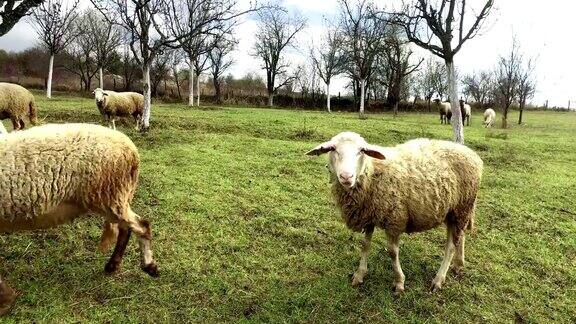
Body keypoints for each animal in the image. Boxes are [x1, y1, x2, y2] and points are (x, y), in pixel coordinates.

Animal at [0, 123, 158, 316]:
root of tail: (130, 148)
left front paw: (5, 300)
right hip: (114, 196)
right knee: (126, 228)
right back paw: (112, 266)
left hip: (109, 194)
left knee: (142, 225)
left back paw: (148, 265)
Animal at [308, 132, 484, 294]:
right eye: (333, 149)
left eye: (362, 151)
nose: (346, 176)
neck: (372, 173)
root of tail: (470, 153)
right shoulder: (369, 215)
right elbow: (365, 245)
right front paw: (359, 275)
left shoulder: (395, 219)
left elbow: (392, 252)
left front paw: (399, 282)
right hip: (455, 211)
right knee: (460, 236)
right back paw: (458, 264)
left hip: (462, 206)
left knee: (451, 246)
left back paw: (438, 279)